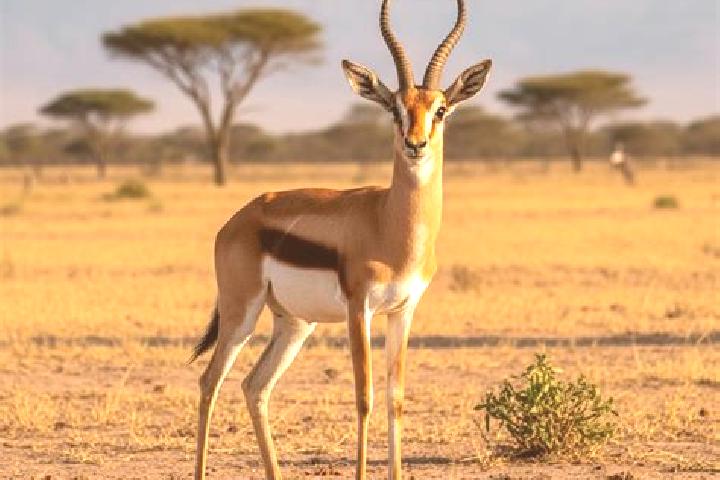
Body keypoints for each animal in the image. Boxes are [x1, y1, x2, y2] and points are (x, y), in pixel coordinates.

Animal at [191, 1, 492, 478]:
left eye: (441, 108)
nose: (416, 144)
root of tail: (238, 219)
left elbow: (395, 399)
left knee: (254, 386)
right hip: (243, 312)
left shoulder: (404, 311)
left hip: (294, 323)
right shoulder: (358, 309)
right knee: (210, 381)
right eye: (394, 109)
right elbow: (364, 397)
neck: (389, 224)